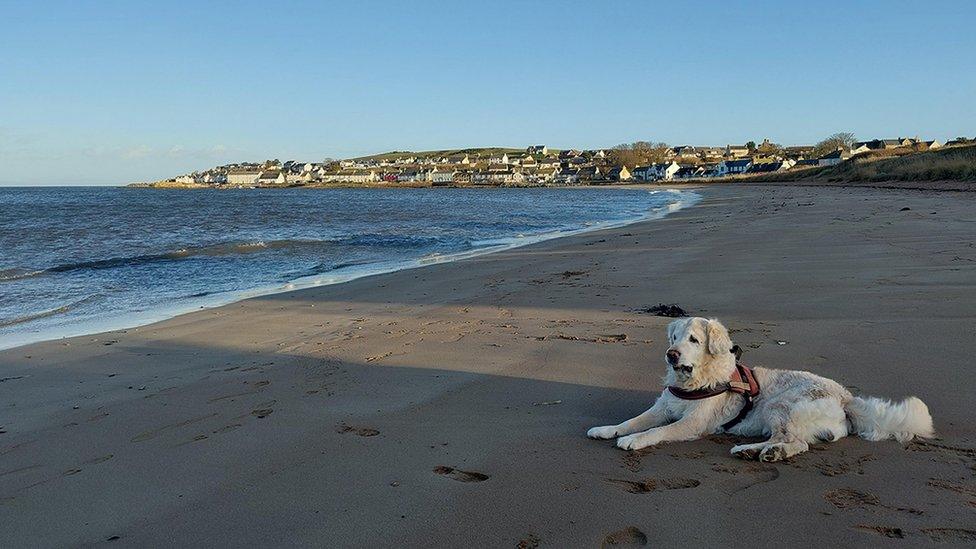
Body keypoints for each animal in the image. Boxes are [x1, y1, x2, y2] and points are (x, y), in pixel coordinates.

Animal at [584, 316, 936, 458]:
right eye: (674, 337)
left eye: (693, 340)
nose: (671, 354)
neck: (696, 379)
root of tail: (846, 397)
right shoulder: (663, 407)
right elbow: (634, 420)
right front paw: (607, 430)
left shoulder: (693, 422)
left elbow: (657, 430)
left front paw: (634, 440)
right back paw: (755, 451)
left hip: (782, 404)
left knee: (797, 443)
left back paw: (754, 451)